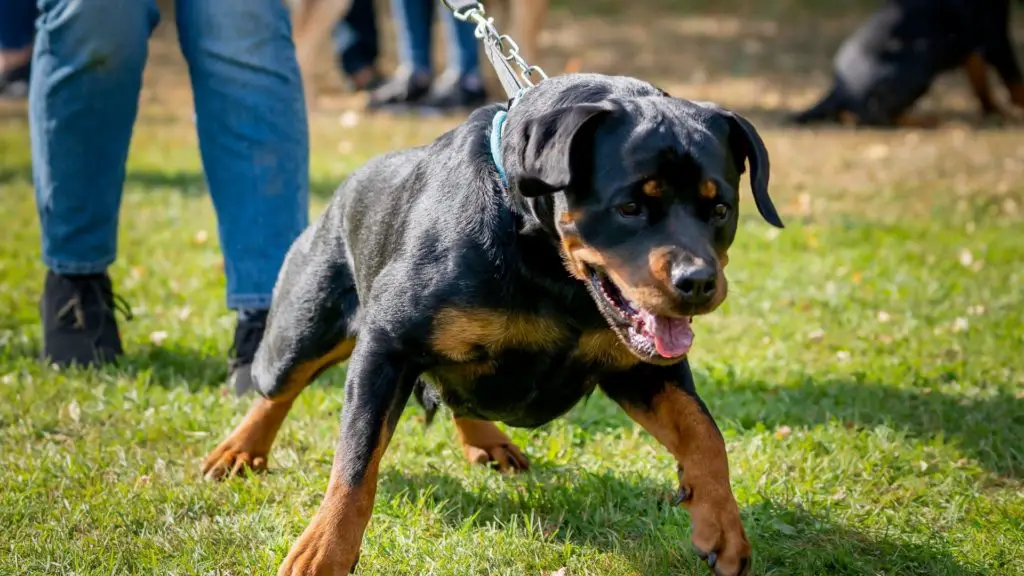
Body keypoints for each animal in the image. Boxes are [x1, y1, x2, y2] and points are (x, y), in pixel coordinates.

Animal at [201, 72, 782, 573]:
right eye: (630, 207)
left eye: (721, 209)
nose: (697, 282)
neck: (549, 264)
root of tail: (344, 190)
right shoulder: (388, 345)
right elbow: (355, 463)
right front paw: (323, 552)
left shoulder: (641, 369)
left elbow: (704, 433)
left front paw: (722, 527)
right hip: (304, 323)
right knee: (277, 386)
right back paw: (239, 451)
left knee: (457, 391)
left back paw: (487, 439)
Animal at [790, 0, 1024, 126]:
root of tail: (838, 88)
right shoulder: (994, 36)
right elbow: (1015, 82)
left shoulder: (973, 46)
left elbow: (981, 83)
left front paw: (994, 112)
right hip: (920, 64)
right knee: (878, 116)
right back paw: (931, 121)